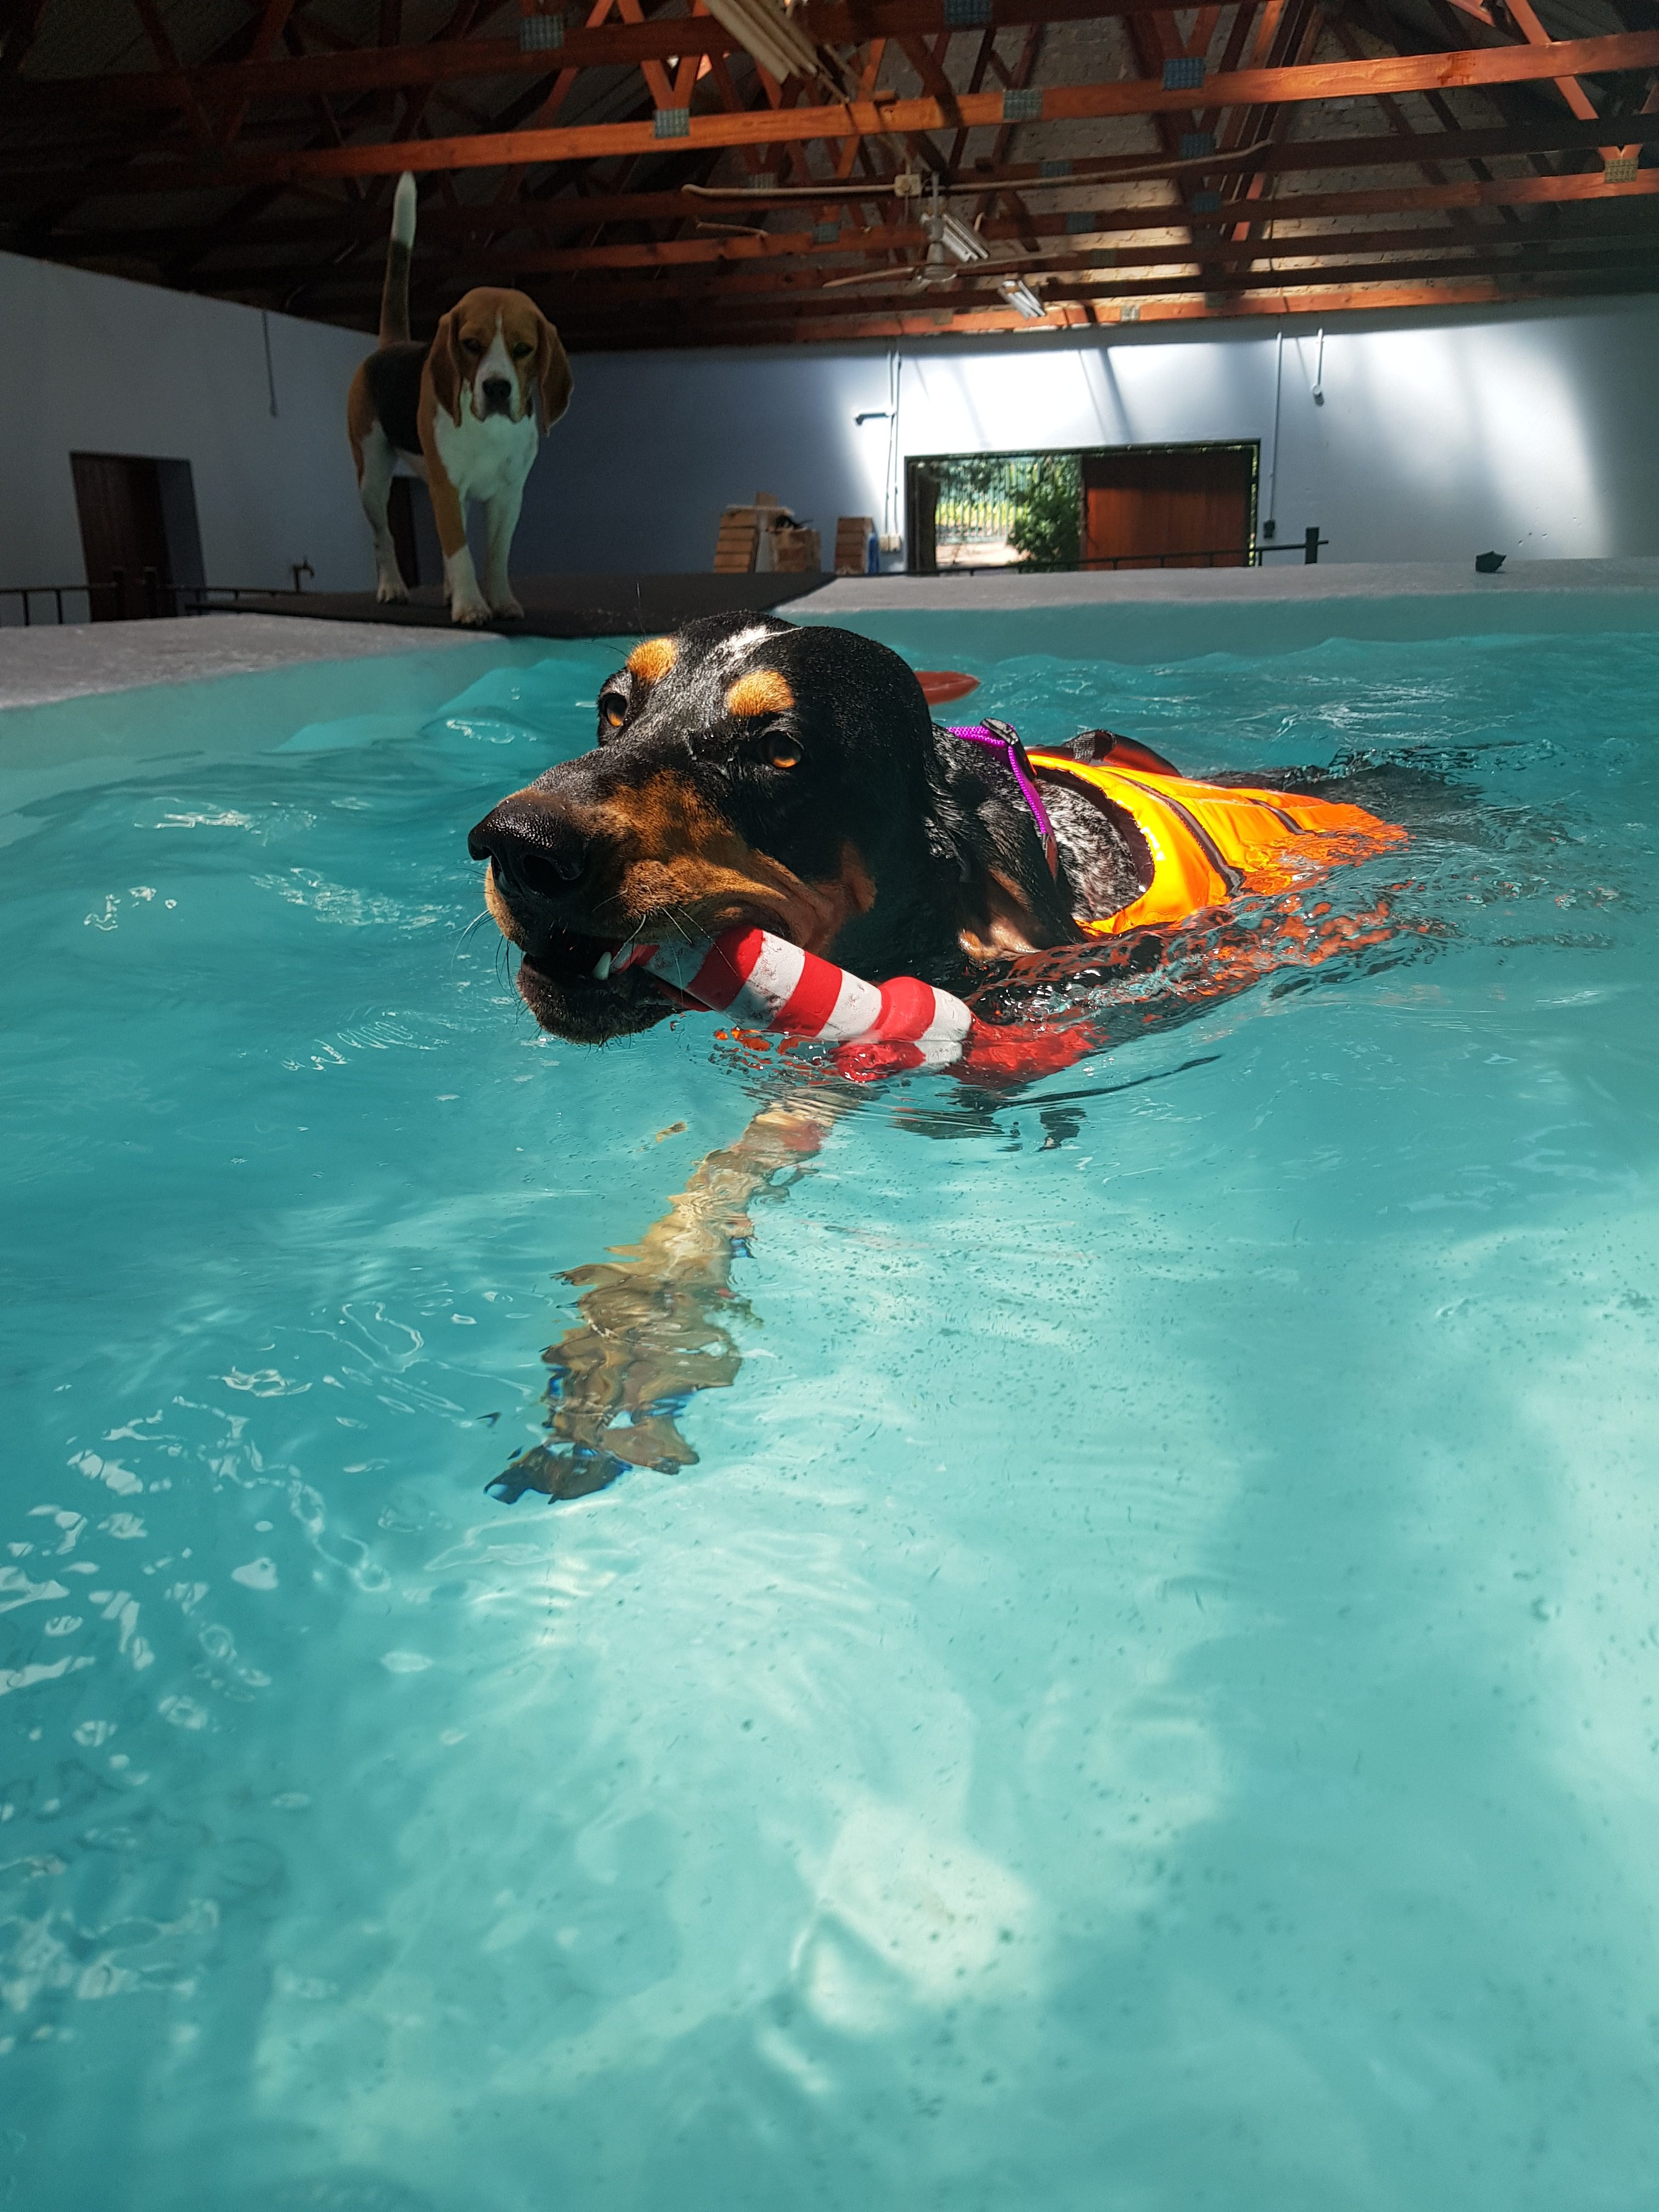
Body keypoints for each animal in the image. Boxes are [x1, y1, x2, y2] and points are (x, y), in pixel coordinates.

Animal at [347, 172, 572, 626]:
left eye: (523, 349)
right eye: (471, 345)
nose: (497, 388)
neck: (491, 431)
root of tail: (391, 346)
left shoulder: (508, 496)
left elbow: (495, 556)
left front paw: (500, 600)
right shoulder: (447, 489)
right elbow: (460, 553)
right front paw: (471, 606)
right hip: (373, 479)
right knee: (383, 537)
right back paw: (393, 586)